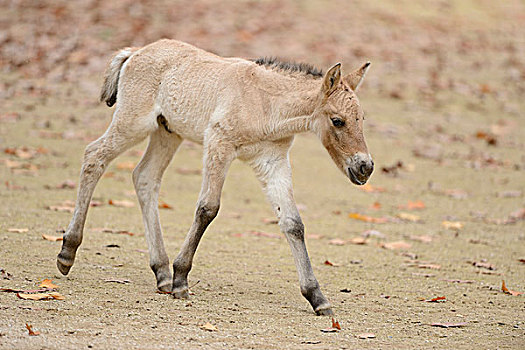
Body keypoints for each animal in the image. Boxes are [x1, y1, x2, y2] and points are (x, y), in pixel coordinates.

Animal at [57, 39, 372, 316]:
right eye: (338, 121)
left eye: (362, 119)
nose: (365, 167)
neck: (265, 103)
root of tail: (136, 51)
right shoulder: (219, 144)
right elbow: (208, 209)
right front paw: (181, 279)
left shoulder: (272, 161)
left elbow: (293, 224)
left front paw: (317, 297)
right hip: (133, 123)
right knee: (94, 157)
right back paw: (67, 253)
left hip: (167, 132)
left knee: (144, 177)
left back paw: (161, 271)